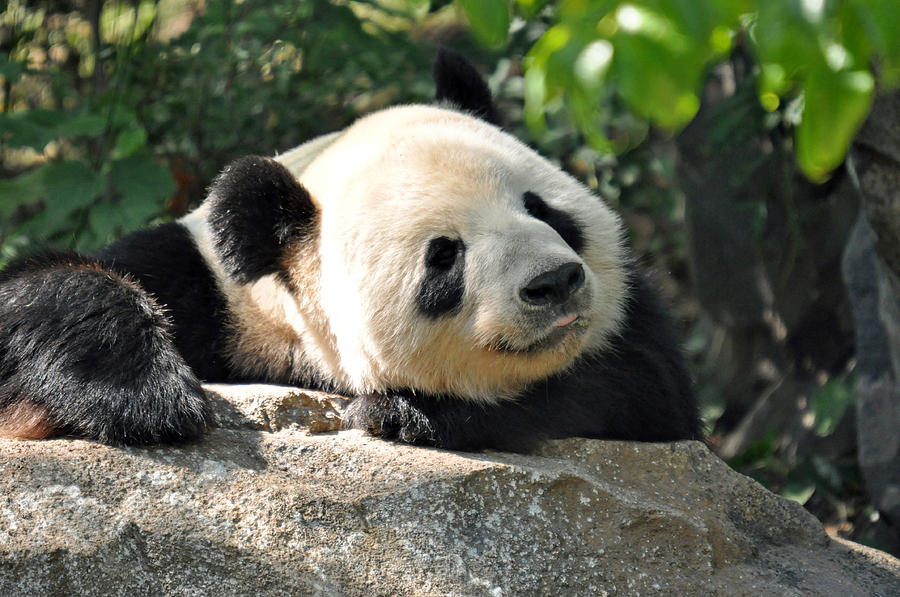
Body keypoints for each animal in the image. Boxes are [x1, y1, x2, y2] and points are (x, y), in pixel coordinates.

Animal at [0, 53, 704, 450]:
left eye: (542, 209)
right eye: (444, 257)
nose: (554, 282)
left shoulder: (634, 327)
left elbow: (636, 388)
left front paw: (408, 412)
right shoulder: (199, 284)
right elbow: (46, 290)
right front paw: (143, 397)